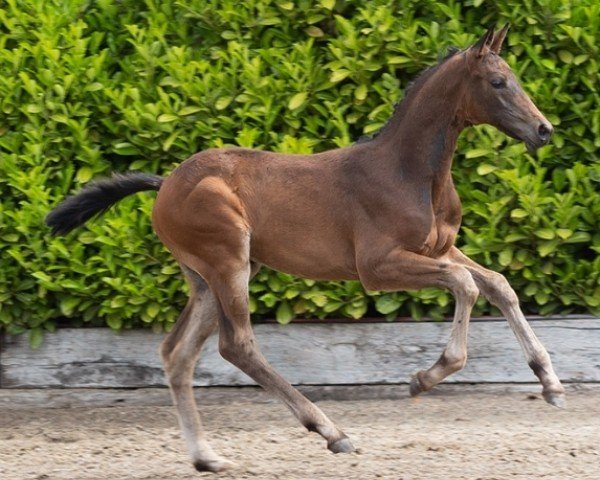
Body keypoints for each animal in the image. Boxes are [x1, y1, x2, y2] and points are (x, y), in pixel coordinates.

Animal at [45, 25, 564, 472]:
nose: (544, 130)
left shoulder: (438, 249)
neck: (409, 172)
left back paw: (207, 457)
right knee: (237, 345)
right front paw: (426, 376)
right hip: (228, 262)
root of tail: (164, 184)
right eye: (498, 81)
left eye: (515, 77)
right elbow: (465, 286)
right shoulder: (378, 266)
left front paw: (550, 383)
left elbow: (497, 284)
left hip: (209, 277)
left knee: (178, 352)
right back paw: (332, 432)